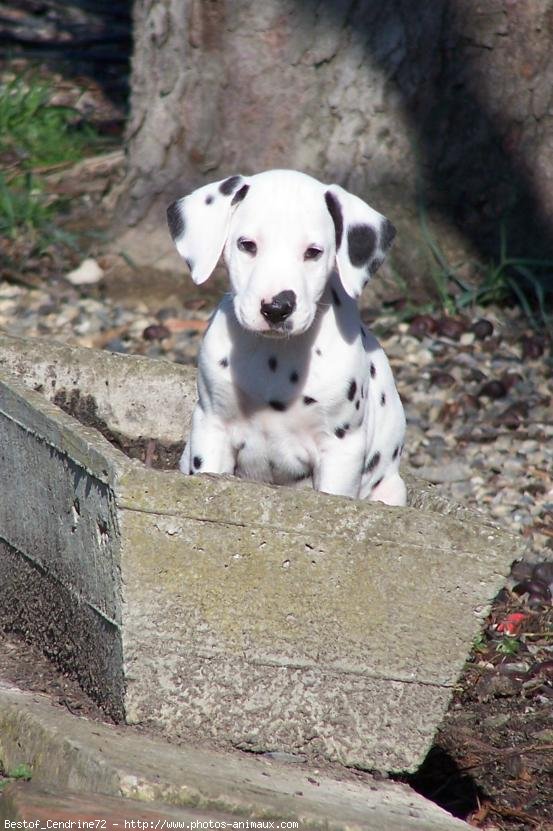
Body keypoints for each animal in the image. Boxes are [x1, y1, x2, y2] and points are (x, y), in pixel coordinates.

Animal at [166, 171, 404, 500]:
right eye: (247, 245)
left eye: (313, 252)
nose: (277, 307)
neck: (274, 357)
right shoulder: (212, 428)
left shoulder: (340, 449)